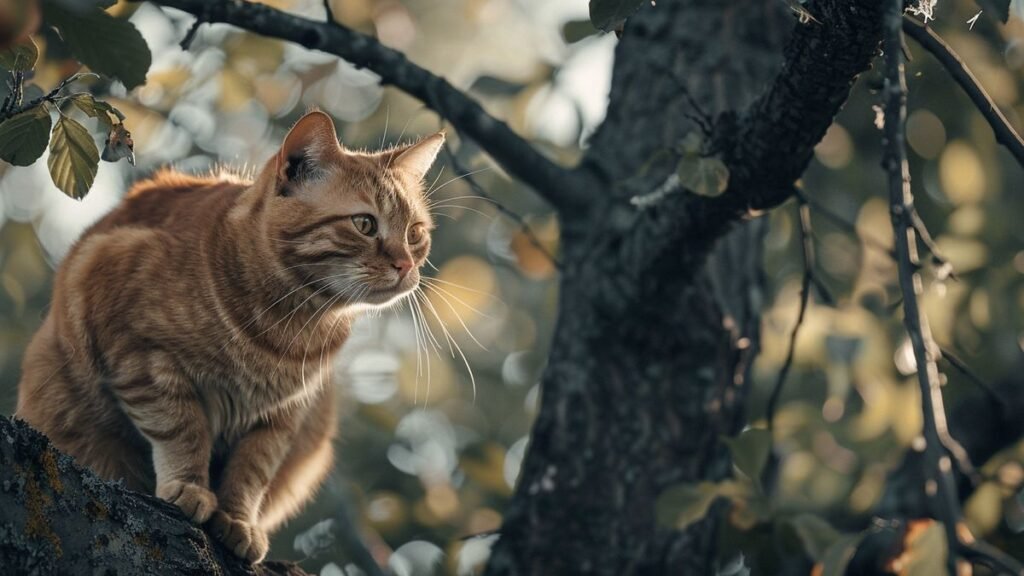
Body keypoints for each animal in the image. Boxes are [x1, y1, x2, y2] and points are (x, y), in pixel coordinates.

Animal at [14, 108, 442, 561]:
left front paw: (238, 519)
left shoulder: (285, 415)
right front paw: (188, 486)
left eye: (415, 233)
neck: (289, 328)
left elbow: (253, 469)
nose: (406, 265)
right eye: (364, 224)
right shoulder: (138, 354)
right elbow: (182, 428)